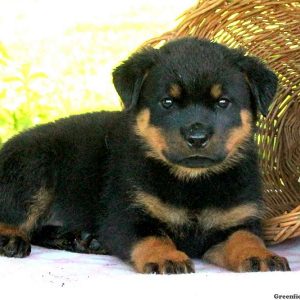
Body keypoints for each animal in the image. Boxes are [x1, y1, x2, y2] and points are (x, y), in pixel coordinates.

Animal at [0, 37, 290, 272]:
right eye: (167, 102)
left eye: (223, 102)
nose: (197, 138)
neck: (193, 182)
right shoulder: (127, 215)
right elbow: (154, 236)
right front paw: (166, 258)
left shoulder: (238, 220)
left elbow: (246, 238)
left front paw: (260, 255)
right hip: (33, 171)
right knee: (14, 213)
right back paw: (11, 238)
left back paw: (81, 239)